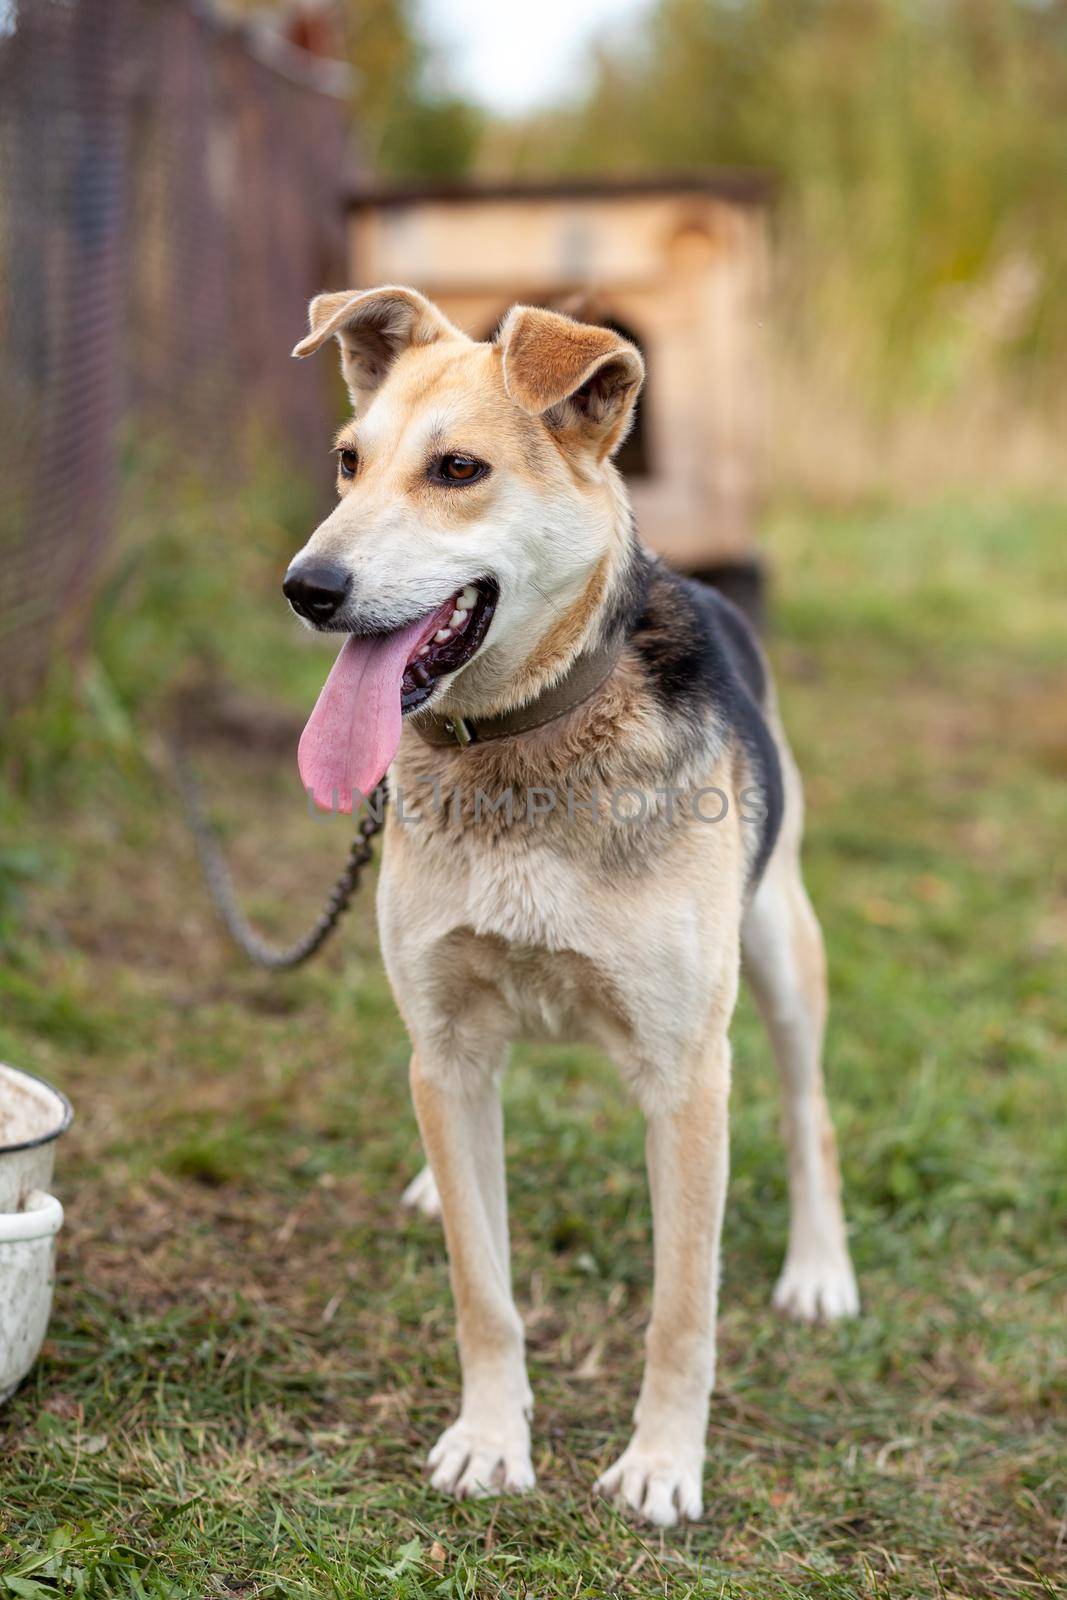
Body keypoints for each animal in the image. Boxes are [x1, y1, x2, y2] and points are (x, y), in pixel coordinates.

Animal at [283, 288, 857, 1523]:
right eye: (347, 463)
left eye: (457, 469)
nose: (307, 588)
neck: (523, 739)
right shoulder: (449, 1045)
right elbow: (482, 1286)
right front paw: (490, 1440)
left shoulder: (687, 1078)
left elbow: (681, 1310)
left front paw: (661, 1465)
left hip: (780, 953)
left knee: (808, 1113)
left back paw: (819, 1270)